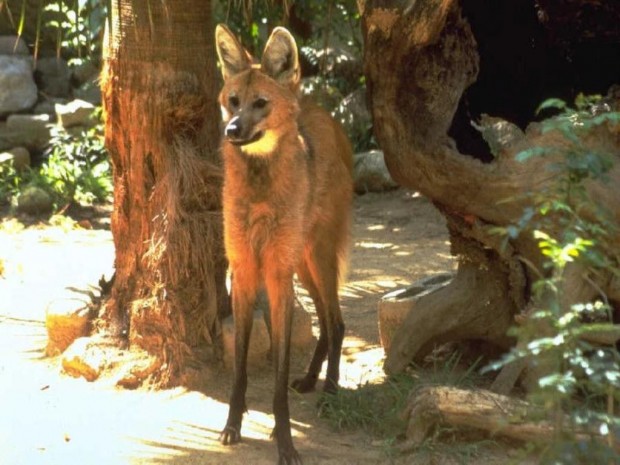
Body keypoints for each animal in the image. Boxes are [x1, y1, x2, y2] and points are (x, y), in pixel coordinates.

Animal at [216, 24, 354, 464]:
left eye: (260, 103)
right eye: (233, 101)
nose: (232, 130)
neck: (260, 189)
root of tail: (321, 112)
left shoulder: (277, 274)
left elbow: (277, 373)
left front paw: (286, 442)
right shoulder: (245, 272)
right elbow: (240, 366)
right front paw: (232, 424)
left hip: (316, 258)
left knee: (337, 321)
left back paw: (330, 390)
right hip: (304, 264)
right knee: (326, 321)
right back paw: (310, 378)